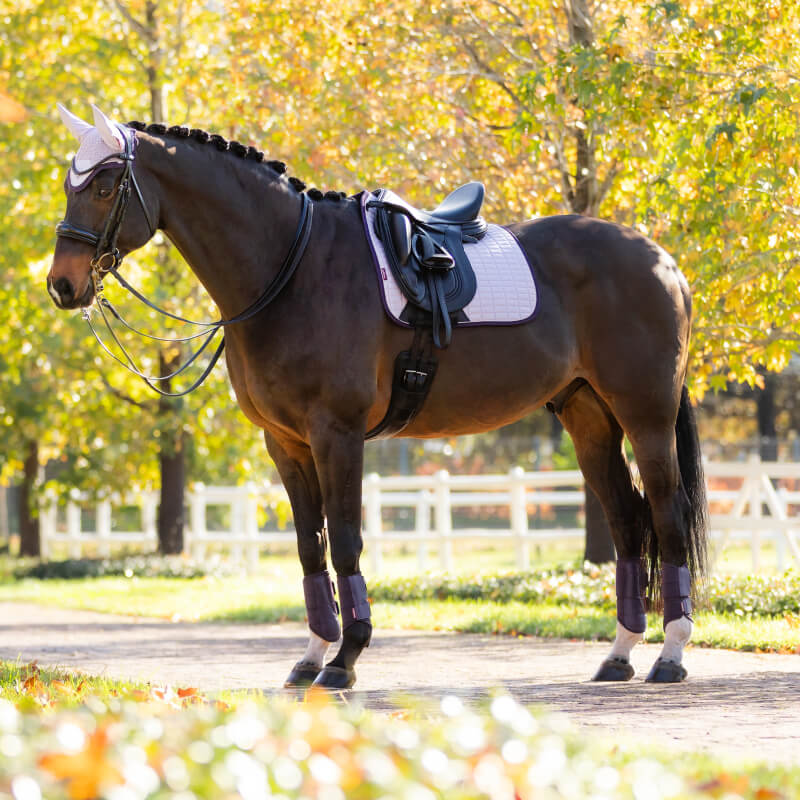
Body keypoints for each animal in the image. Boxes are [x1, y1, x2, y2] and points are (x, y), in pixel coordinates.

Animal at [47, 104, 708, 689]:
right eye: (69, 183)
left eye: (104, 185)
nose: (62, 285)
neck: (291, 268)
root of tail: (661, 260)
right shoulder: (284, 443)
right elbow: (309, 548)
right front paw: (312, 657)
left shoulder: (336, 435)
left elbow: (344, 541)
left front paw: (345, 659)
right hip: (588, 416)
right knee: (626, 521)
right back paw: (619, 654)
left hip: (645, 416)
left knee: (666, 515)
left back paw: (671, 655)